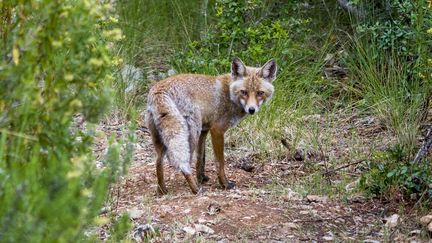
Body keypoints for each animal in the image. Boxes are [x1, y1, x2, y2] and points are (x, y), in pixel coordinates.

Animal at [146, 58, 276, 195]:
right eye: (244, 92)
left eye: (260, 93)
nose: (251, 110)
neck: (229, 94)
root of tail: (159, 89)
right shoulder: (217, 130)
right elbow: (220, 162)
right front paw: (224, 184)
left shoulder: (204, 130)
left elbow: (200, 159)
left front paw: (201, 178)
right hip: (190, 133)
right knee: (184, 164)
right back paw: (195, 189)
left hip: (164, 137)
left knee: (158, 162)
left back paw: (162, 190)